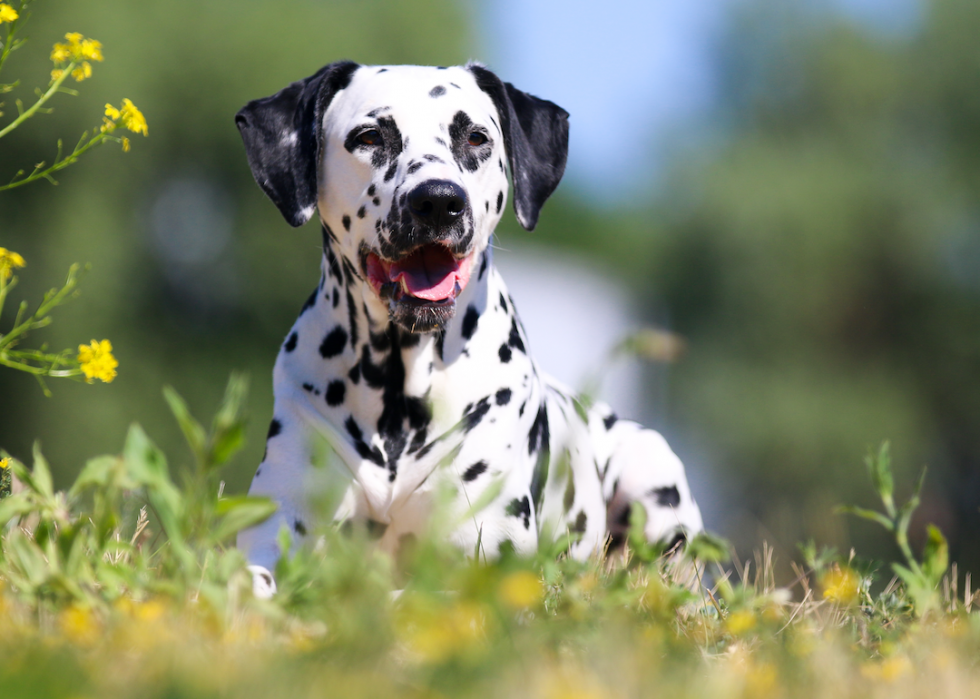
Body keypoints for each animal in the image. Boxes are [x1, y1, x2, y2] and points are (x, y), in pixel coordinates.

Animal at [234, 61, 700, 596]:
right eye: (370, 136)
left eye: (476, 137)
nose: (438, 200)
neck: (399, 391)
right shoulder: (278, 524)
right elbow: (250, 576)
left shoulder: (491, 555)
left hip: (651, 474)